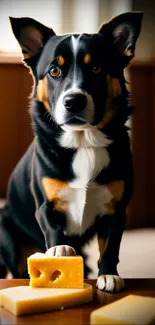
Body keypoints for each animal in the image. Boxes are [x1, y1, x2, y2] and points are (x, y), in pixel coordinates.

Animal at [0, 12, 143, 292]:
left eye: (97, 68)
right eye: (54, 70)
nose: (73, 101)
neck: (83, 142)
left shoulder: (115, 210)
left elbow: (111, 247)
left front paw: (109, 275)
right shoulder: (46, 205)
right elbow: (54, 230)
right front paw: (59, 252)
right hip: (8, 233)